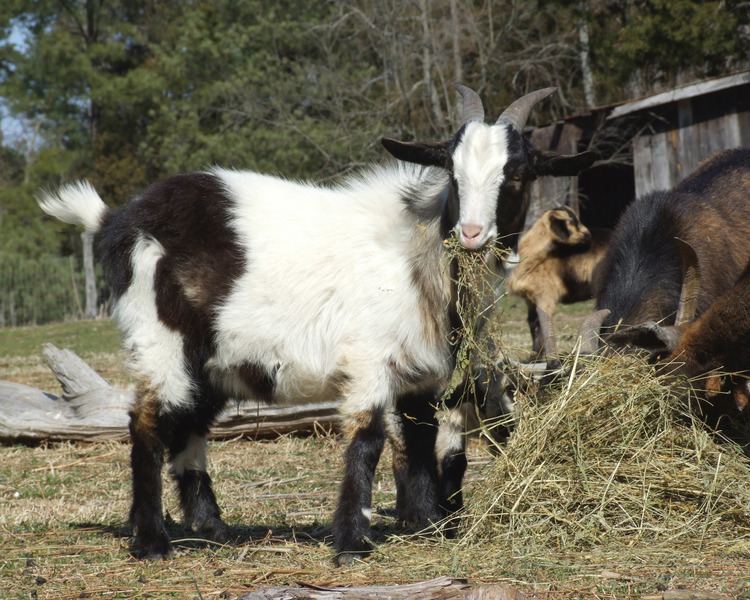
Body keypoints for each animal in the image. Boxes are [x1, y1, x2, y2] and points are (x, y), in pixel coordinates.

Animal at [41, 84, 596, 564]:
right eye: (452, 171)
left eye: (518, 173)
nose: (473, 233)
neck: (418, 251)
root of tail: (117, 220)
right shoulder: (369, 358)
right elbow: (368, 438)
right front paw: (351, 541)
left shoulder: (423, 369)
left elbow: (419, 436)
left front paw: (424, 525)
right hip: (160, 339)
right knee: (147, 424)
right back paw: (152, 541)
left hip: (210, 360)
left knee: (191, 425)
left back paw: (212, 528)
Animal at [508, 205, 612, 366]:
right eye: (572, 222)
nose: (588, 235)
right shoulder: (531, 299)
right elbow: (534, 325)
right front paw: (532, 359)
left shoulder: (546, 296)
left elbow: (544, 326)